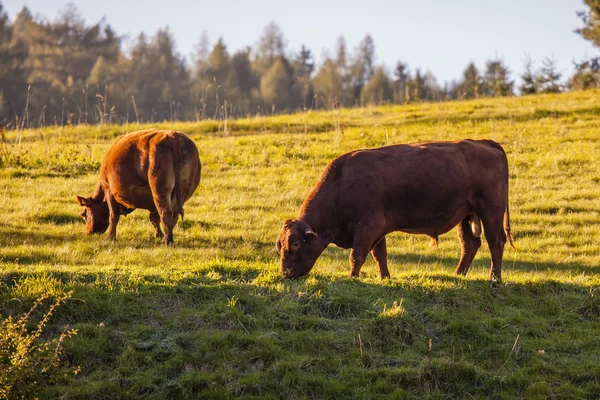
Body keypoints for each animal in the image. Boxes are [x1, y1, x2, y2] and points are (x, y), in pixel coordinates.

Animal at [276, 141, 516, 282]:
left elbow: (357, 255)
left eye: (295, 244)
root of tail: (485, 144)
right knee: (470, 244)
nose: (285, 273)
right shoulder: (378, 230)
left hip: (490, 210)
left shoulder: (367, 227)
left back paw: (495, 278)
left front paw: (352, 277)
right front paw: (385, 277)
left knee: (495, 242)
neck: (341, 183)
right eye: (279, 246)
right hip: (465, 215)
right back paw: (458, 275)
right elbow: (380, 255)